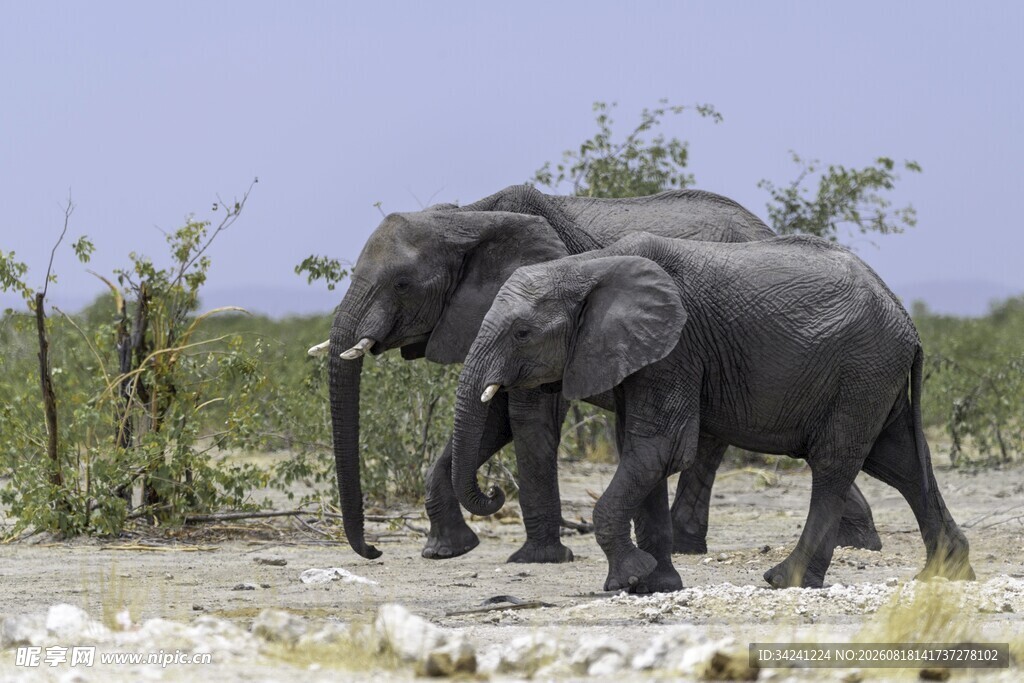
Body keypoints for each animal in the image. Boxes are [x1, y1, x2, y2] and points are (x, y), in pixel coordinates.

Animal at [320, 184, 880, 564]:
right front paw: (446, 551)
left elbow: (528, 417)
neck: (467, 218)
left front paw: (538, 558)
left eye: (401, 284)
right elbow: (493, 417)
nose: (373, 552)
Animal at [451, 232, 975, 591]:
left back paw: (784, 579)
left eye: (521, 333)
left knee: (834, 464)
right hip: (874, 376)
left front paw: (627, 580)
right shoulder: (642, 357)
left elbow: (658, 450)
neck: (587, 267)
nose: (495, 492)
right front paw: (656, 584)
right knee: (900, 463)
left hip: (862, 370)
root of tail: (907, 319)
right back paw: (945, 575)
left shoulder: (676, 348)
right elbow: (640, 454)